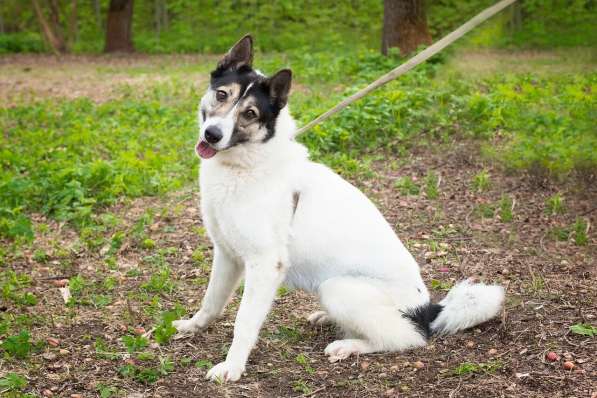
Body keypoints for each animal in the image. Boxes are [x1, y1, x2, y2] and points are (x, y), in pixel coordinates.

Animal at [172, 35, 502, 382]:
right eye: (222, 95)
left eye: (249, 113)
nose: (212, 135)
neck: (247, 165)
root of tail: (427, 310)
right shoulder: (227, 255)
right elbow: (212, 301)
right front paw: (194, 326)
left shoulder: (265, 264)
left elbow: (244, 322)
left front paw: (233, 366)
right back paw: (326, 318)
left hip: (338, 288)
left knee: (404, 338)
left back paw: (349, 345)